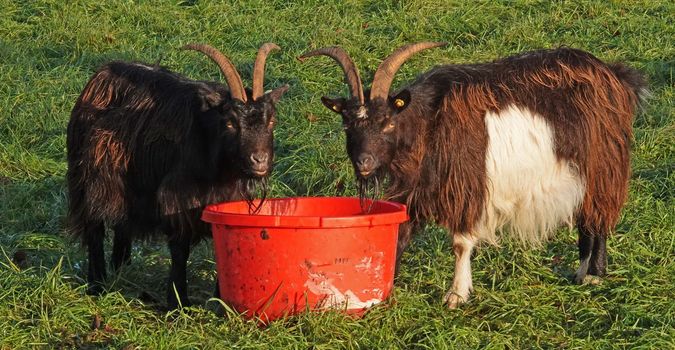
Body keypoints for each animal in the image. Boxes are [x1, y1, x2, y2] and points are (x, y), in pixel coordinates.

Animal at [68, 42, 288, 308]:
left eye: (272, 121)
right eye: (230, 123)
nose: (260, 160)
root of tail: (99, 75)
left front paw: (219, 300)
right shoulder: (176, 198)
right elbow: (179, 248)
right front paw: (178, 301)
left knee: (122, 222)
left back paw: (122, 266)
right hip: (89, 179)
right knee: (95, 227)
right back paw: (97, 284)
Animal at [300, 42, 644, 308]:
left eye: (388, 123)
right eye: (347, 124)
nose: (364, 162)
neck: (429, 122)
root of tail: (614, 75)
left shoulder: (467, 186)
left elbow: (461, 243)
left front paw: (456, 295)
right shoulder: (417, 188)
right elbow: (401, 232)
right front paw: (383, 287)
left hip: (603, 165)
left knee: (598, 215)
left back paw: (594, 274)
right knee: (587, 216)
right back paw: (581, 271)